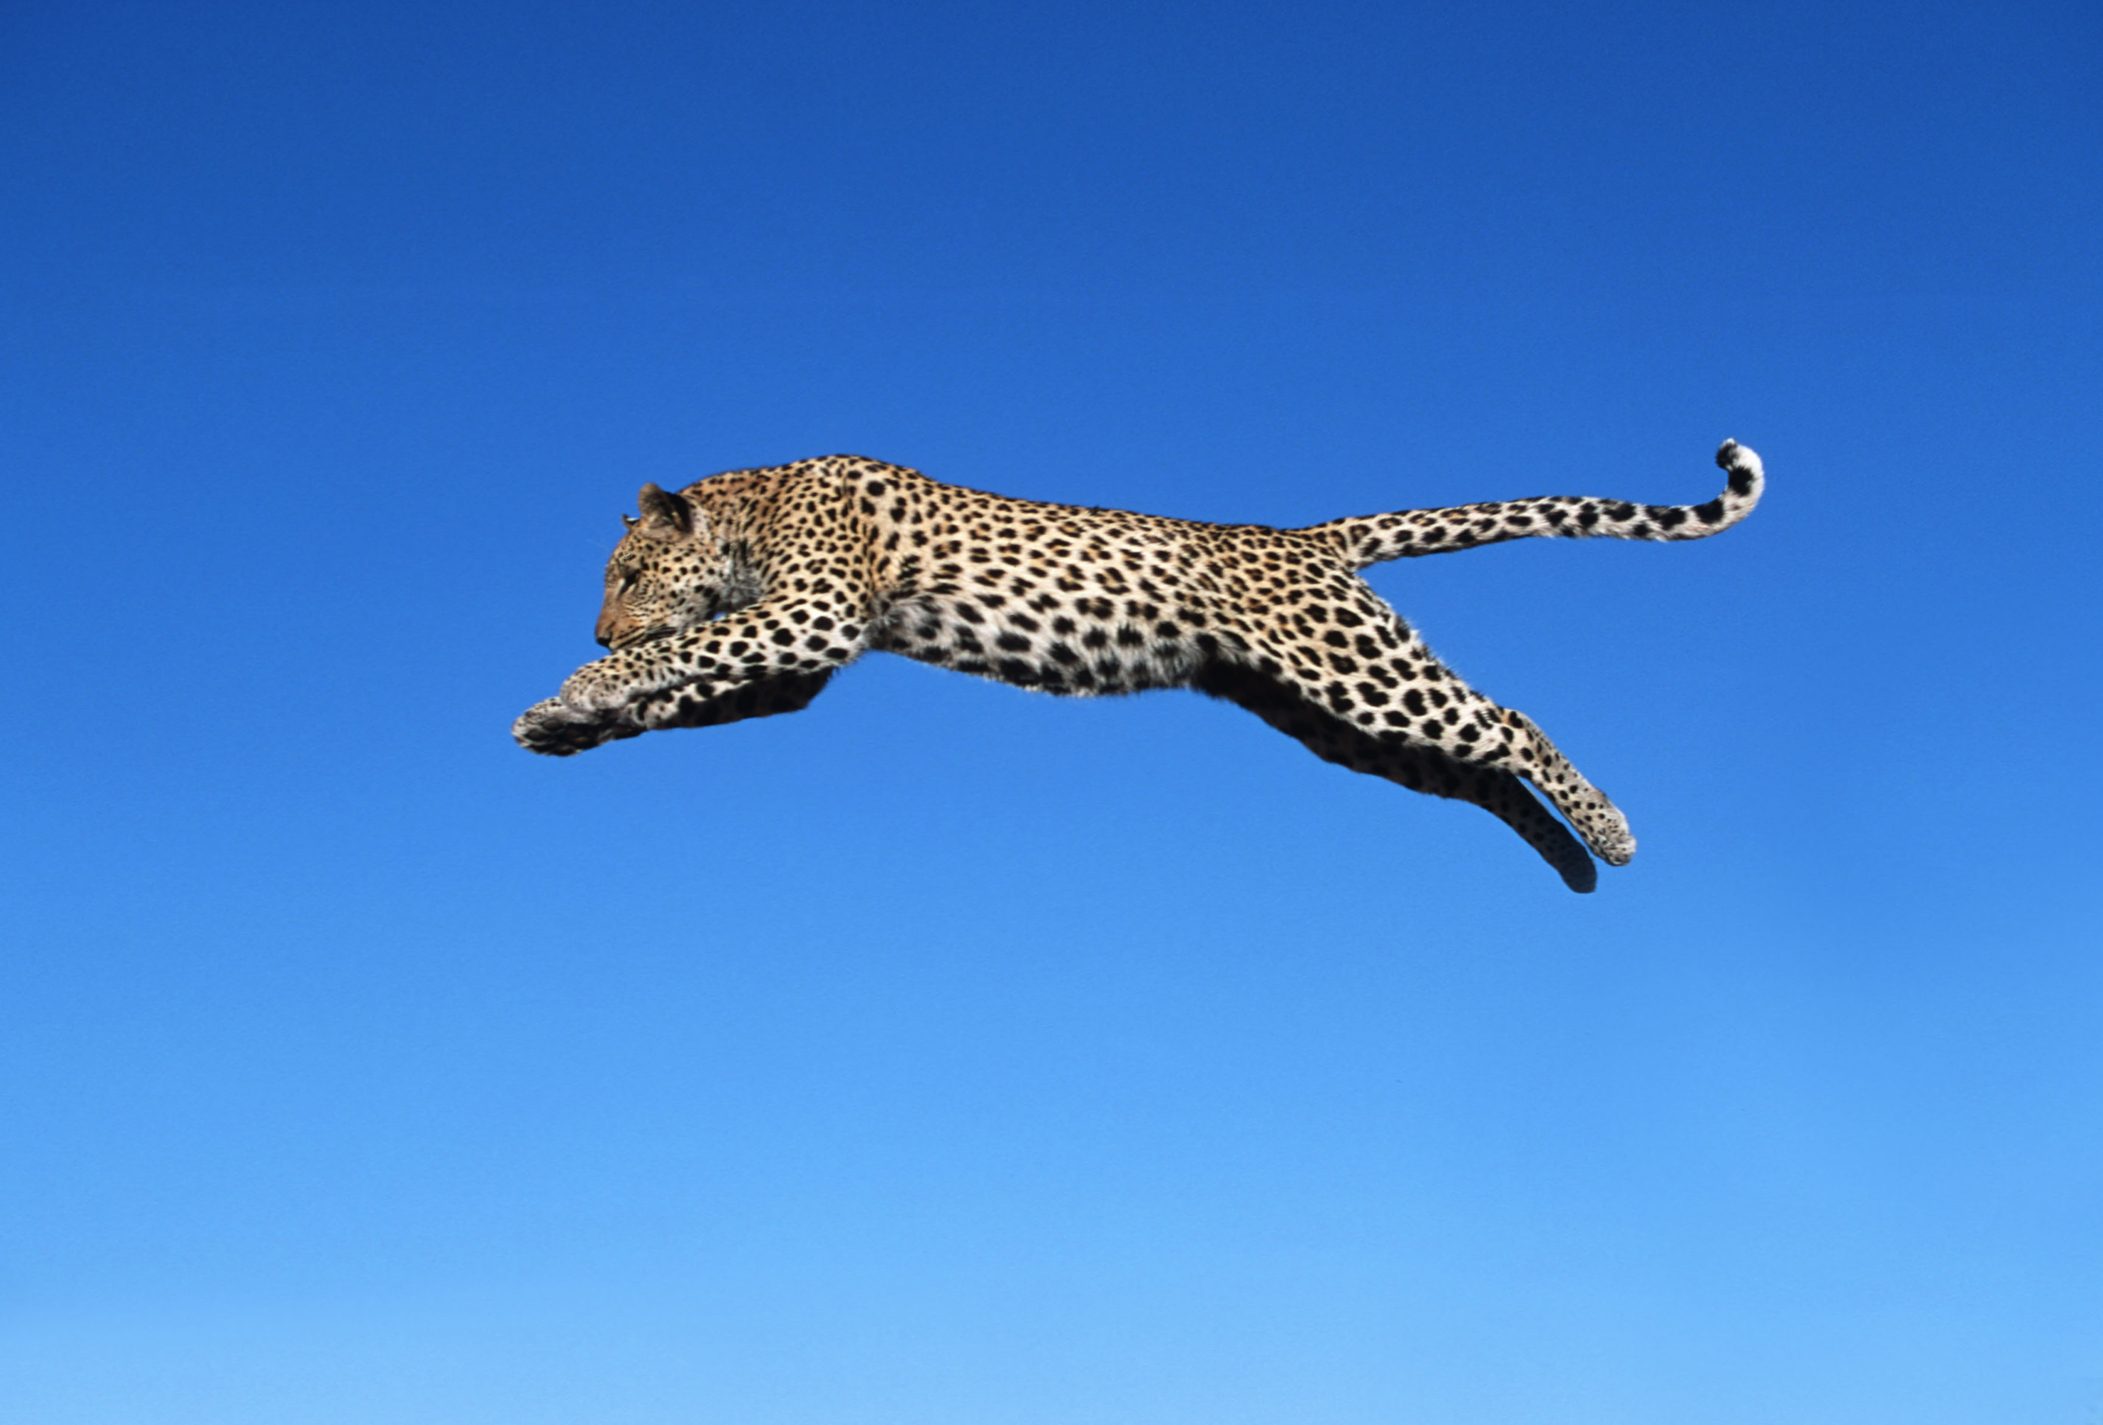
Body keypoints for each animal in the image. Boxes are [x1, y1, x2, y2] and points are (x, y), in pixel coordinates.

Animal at [514, 439, 1764, 891]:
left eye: (628, 573)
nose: (600, 632)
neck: (752, 508)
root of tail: (1301, 538)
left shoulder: (815, 611)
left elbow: (696, 646)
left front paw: (581, 688)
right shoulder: (798, 656)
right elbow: (695, 686)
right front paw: (573, 718)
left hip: (1357, 673)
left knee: (1506, 720)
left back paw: (1608, 832)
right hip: (1334, 723)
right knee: (1478, 773)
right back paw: (1572, 864)